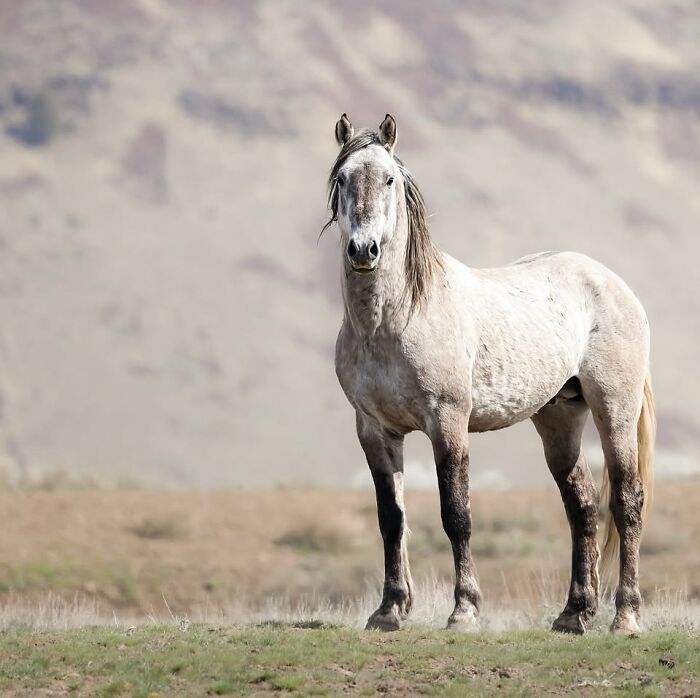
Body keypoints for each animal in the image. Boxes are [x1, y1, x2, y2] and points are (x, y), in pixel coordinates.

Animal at [325, 113, 655, 635]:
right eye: (342, 179)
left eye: (389, 179)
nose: (363, 250)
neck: (394, 319)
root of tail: (615, 285)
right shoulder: (375, 431)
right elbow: (391, 519)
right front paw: (389, 610)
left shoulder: (447, 423)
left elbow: (456, 515)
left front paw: (463, 610)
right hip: (559, 419)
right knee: (582, 507)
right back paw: (573, 614)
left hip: (615, 410)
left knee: (627, 501)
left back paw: (625, 616)